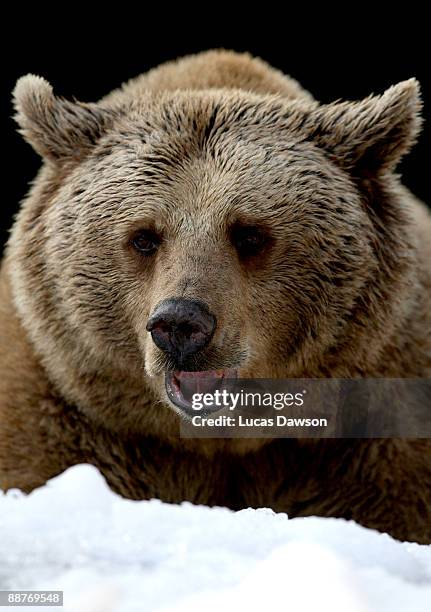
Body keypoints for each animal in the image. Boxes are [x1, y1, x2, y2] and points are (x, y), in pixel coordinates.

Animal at [0, 50, 431, 544]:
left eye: (249, 234)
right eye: (144, 237)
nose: (180, 324)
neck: (221, 441)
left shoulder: (374, 433)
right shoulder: (61, 414)